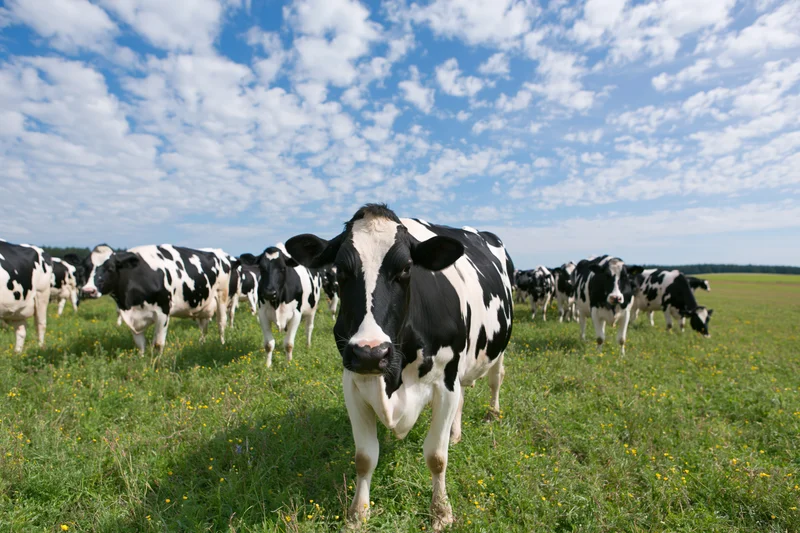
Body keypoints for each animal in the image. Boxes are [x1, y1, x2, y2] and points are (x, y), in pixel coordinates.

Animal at [81, 245, 233, 354]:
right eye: (85, 268)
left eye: (110, 268)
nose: (88, 291)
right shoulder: (132, 317)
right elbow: (140, 345)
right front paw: (142, 363)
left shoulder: (162, 312)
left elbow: (158, 344)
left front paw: (156, 366)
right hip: (203, 306)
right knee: (203, 328)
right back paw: (202, 345)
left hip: (221, 297)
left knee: (221, 324)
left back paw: (222, 344)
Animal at [285, 204, 514, 531]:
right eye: (340, 269)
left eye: (406, 268)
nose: (370, 352)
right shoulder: (352, 382)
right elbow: (364, 457)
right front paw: (358, 513)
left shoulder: (444, 381)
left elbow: (436, 456)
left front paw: (441, 512)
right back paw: (455, 433)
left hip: (498, 347)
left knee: (496, 378)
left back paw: (492, 412)